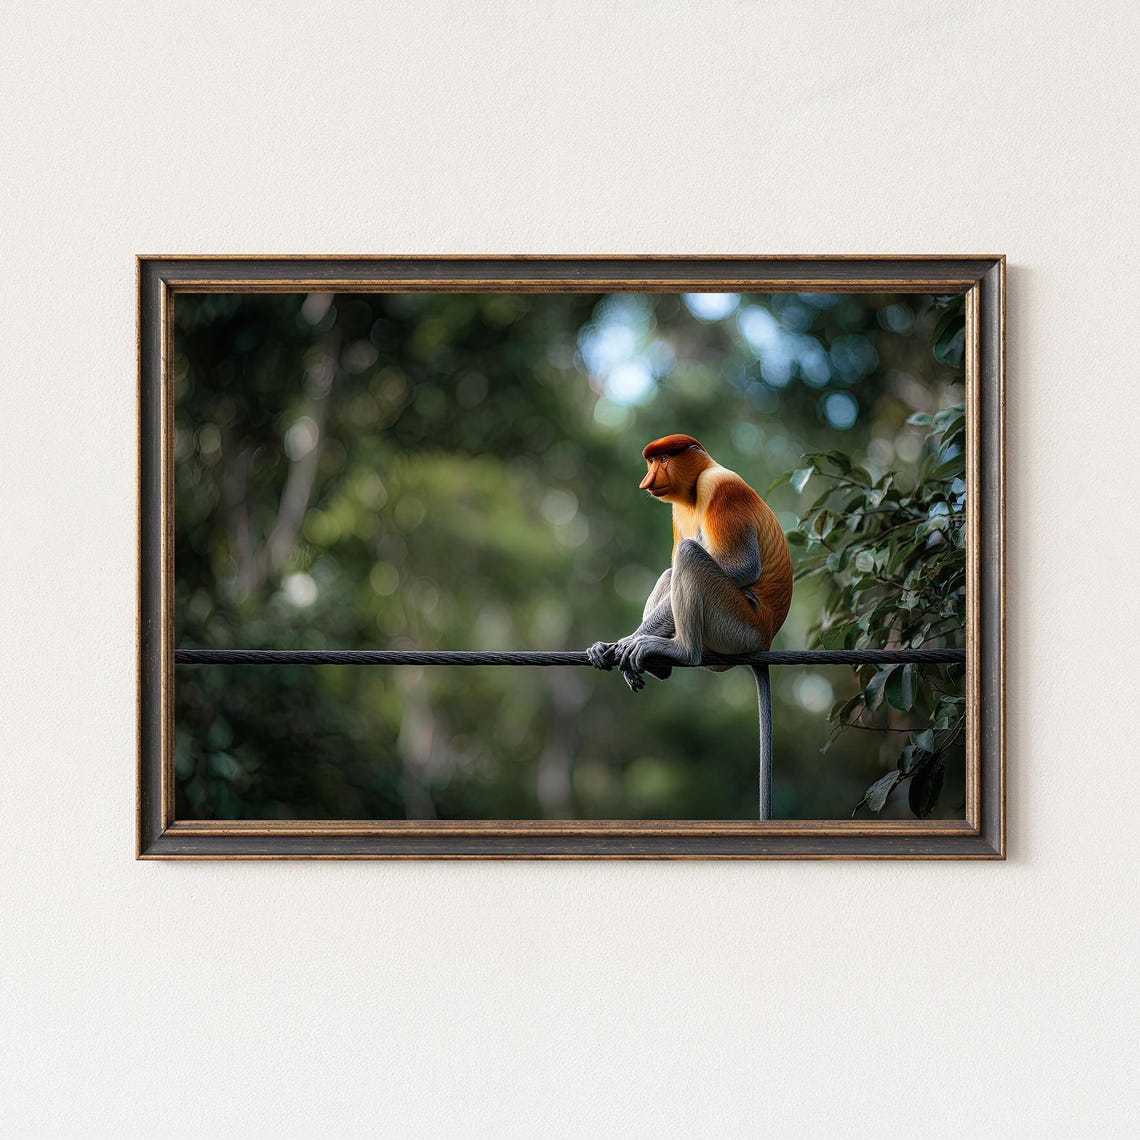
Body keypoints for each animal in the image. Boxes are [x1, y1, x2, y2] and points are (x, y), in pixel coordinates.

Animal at [588, 434, 792, 693]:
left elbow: (742, 566)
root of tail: (766, 638)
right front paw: (608, 646)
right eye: (651, 461)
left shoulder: (719, 486)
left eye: (663, 459)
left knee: (688, 554)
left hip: (740, 627)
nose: (647, 481)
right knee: (670, 572)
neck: (695, 490)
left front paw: (626, 641)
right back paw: (661, 667)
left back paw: (682, 651)